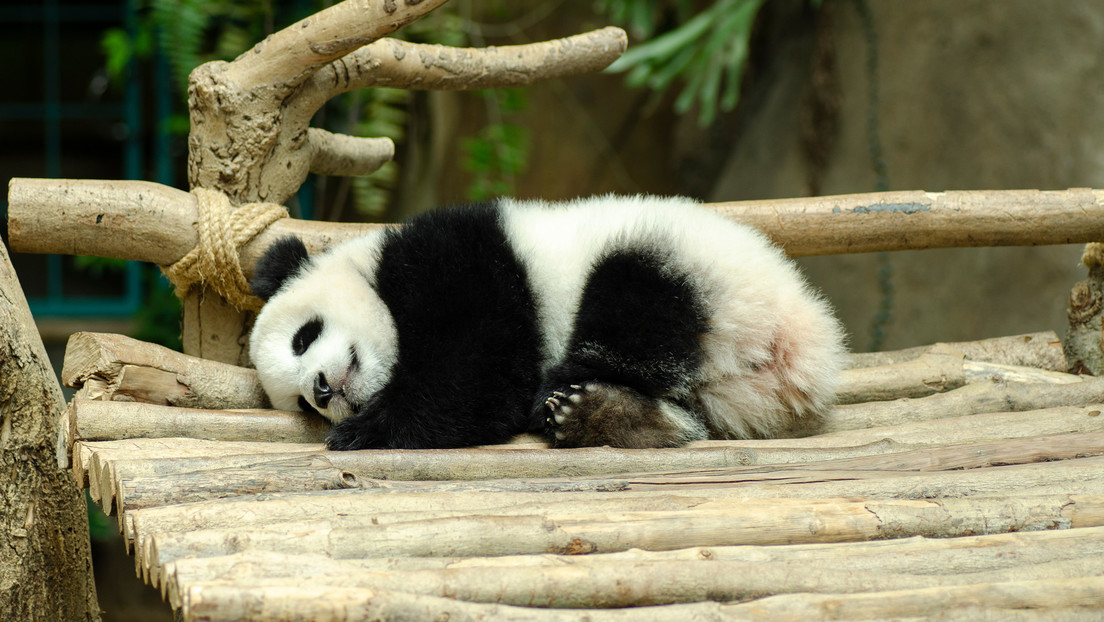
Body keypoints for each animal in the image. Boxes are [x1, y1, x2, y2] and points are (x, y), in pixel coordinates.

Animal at [248, 193, 843, 448]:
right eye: (300, 403)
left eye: (304, 336)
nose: (322, 390)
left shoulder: (459, 261)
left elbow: (478, 375)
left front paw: (363, 430)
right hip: (730, 388)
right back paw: (609, 415)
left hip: (701, 271)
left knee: (635, 309)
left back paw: (568, 393)